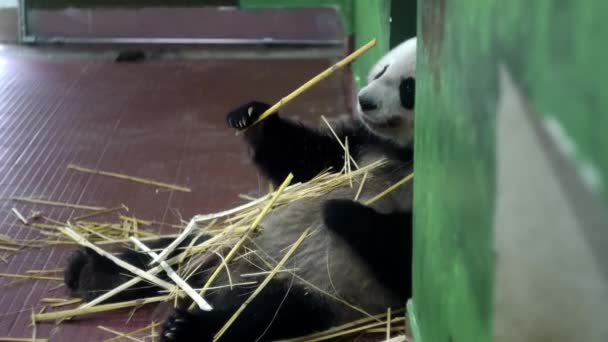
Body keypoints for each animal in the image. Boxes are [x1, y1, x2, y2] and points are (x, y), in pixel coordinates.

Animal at [64, 36, 416, 340]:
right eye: (382, 70)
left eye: (408, 87)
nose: (364, 101)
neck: (399, 152)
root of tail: (227, 277)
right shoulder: (357, 147)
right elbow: (304, 162)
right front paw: (252, 116)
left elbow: (399, 253)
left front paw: (338, 211)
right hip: (232, 242)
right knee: (170, 254)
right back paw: (93, 272)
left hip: (319, 289)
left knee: (262, 314)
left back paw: (186, 327)